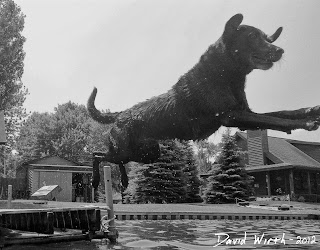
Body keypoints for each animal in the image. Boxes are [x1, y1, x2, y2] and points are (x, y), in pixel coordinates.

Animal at [87, 13, 320, 189]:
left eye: (266, 38)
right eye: (253, 36)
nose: (280, 50)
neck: (225, 75)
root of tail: (122, 114)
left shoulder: (245, 112)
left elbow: (282, 114)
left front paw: (310, 110)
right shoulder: (231, 116)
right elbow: (276, 120)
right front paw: (306, 123)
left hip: (147, 153)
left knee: (109, 158)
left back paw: (124, 180)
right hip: (127, 150)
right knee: (97, 155)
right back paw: (96, 180)